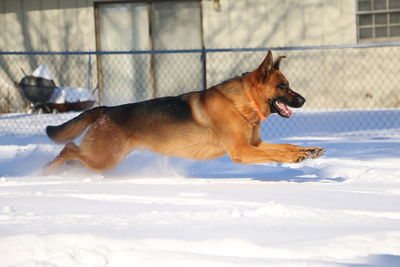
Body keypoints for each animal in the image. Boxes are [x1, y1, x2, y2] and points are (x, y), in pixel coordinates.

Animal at [44, 50, 324, 174]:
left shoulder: (254, 144)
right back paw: (46, 171)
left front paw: (307, 151)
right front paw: (298, 157)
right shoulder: (242, 151)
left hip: (105, 157)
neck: (243, 102)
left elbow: (284, 146)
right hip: (104, 157)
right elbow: (277, 153)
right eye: (282, 86)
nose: (303, 100)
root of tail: (104, 110)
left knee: (73, 152)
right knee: (69, 147)